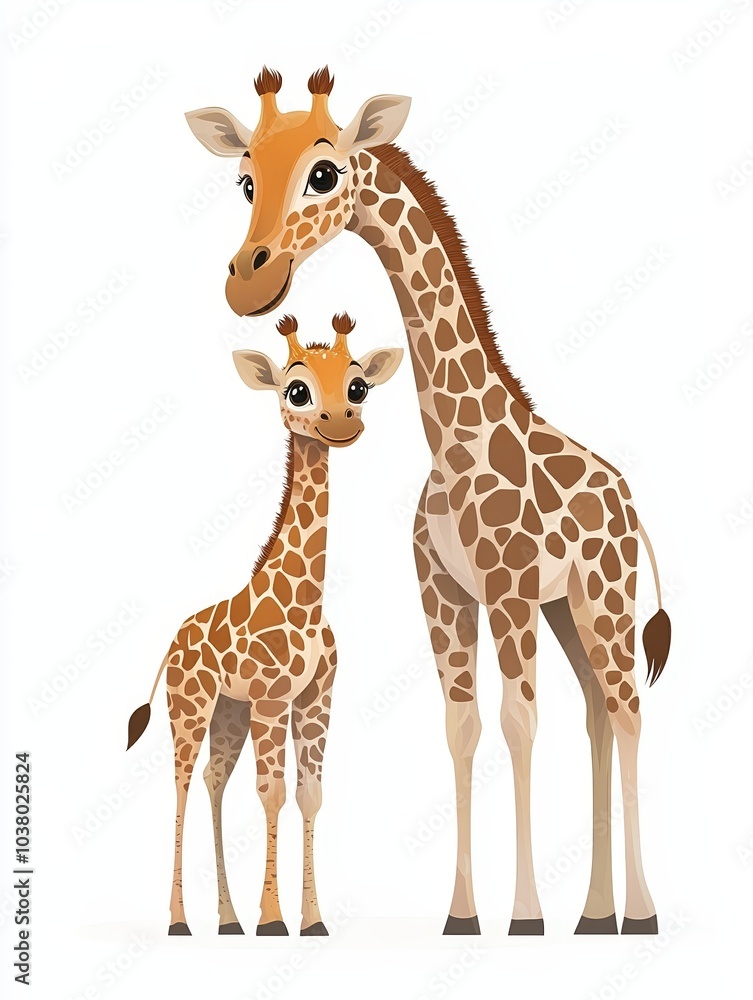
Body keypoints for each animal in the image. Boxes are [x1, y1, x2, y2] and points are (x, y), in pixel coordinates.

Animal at [127, 312, 402, 937]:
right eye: (296, 389)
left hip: (229, 712)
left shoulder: (315, 697)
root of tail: (172, 644)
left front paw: (313, 920)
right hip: (192, 705)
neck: (305, 604)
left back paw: (227, 919)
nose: (341, 423)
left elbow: (310, 794)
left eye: (358, 386)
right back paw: (180, 920)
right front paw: (274, 918)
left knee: (213, 782)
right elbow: (272, 792)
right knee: (182, 783)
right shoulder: (273, 699)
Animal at [186, 66, 672, 936]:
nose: (249, 279)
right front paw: (463, 916)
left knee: (624, 712)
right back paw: (593, 915)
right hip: (567, 609)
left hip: (604, 595)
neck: (453, 441)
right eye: (243, 180)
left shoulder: (507, 589)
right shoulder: (443, 591)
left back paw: (640, 913)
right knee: (593, 712)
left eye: (323, 172)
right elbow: (463, 727)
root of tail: (627, 502)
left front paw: (522, 917)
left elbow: (517, 723)